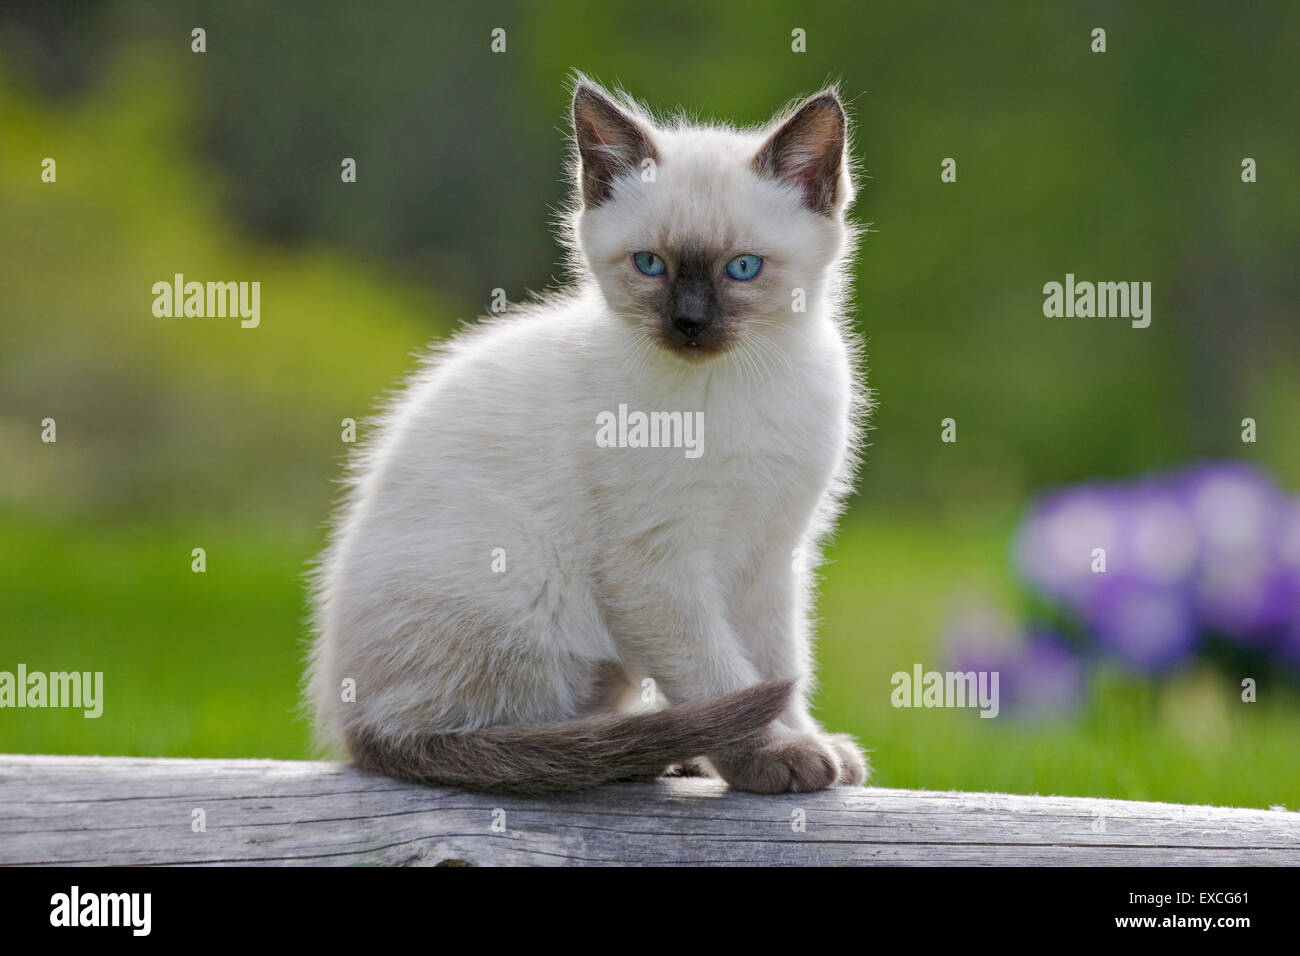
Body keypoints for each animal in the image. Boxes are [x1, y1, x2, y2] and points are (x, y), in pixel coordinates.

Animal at [305, 74, 868, 796]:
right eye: (650, 264)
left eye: (743, 268)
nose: (688, 324)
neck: (736, 389)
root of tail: (354, 729)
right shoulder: (657, 566)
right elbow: (723, 675)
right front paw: (778, 755)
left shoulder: (772, 554)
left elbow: (774, 662)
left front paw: (808, 742)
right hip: (524, 572)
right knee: (484, 740)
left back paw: (668, 756)